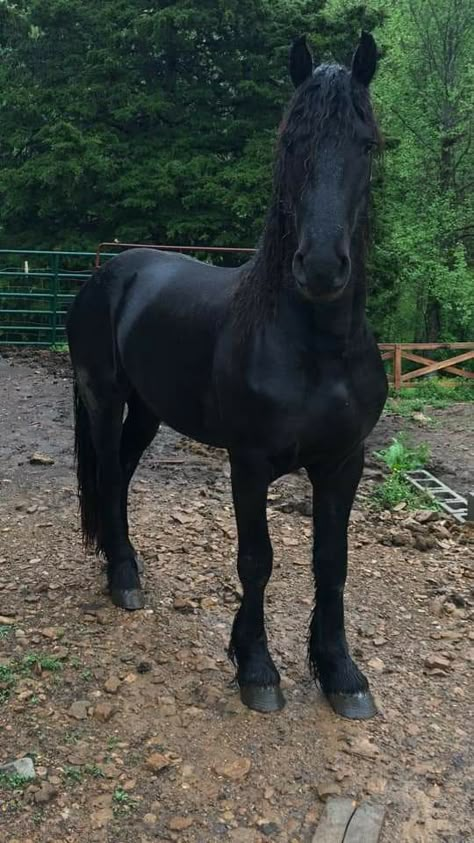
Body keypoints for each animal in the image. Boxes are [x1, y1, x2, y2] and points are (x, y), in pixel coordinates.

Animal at [67, 33, 388, 720]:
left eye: (367, 144)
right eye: (290, 141)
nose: (322, 267)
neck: (316, 349)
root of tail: (110, 273)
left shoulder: (343, 462)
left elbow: (332, 562)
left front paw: (341, 673)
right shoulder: (250, 461)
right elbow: (256, 559)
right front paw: (257, 667)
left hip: (148, 411)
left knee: (121, 477)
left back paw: (124, 564)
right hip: (104, 400)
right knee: (106, 475)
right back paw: (123, 579)